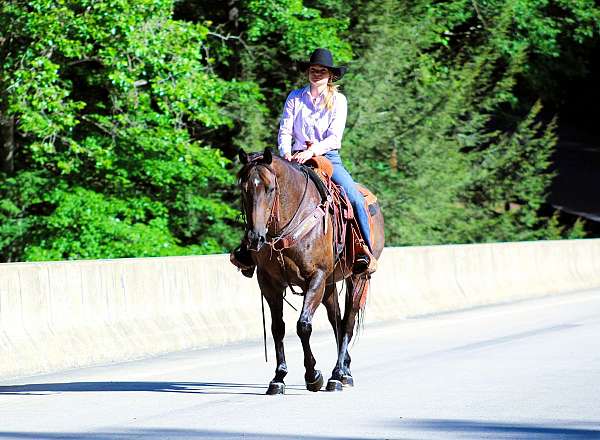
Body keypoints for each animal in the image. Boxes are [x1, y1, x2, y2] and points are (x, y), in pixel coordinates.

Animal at [236, 148, 384, 396]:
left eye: (270, 188)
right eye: (243, 188)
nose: (255, 238)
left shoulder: (316, 277)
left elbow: (303, 326)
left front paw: (313, 375)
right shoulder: (268, 282)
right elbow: (278, 328)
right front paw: (279, 377)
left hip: (357, 277)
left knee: (348, 323)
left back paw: (337, 375)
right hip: (330, 285)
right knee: (337, 321)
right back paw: (344, 370)